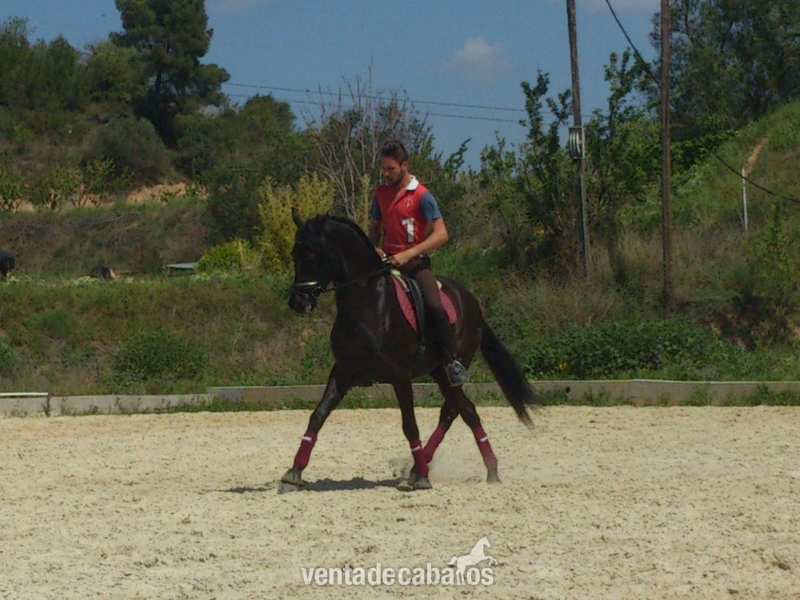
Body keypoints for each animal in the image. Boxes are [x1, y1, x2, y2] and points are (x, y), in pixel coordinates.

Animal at [281, 209, 544, 492]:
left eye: (315, 254)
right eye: (294, 253)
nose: (297, 302)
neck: (368, 302)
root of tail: (471, 301)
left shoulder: (400, 376)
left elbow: (410, 425)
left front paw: (423, 478)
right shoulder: (343, 372)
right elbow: (317, 416)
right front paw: (293, 473)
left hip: (454, 365)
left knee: (452, 411)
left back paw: (426, 469)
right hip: (438, 371)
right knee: (465, 410)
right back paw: (477, 468)